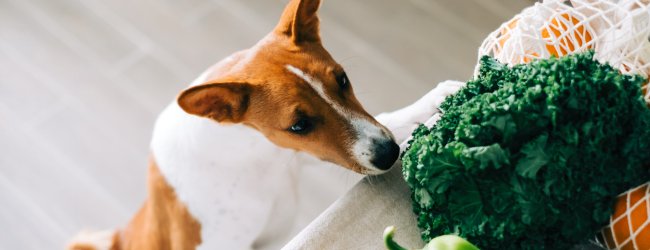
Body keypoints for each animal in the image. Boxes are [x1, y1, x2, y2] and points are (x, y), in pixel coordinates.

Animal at [68, 0, 464, 249]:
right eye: (299, 125)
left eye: (343, 80)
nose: (388, 154)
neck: (251, 157)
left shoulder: (299, 155)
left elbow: (388, 119)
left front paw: (441, 97)